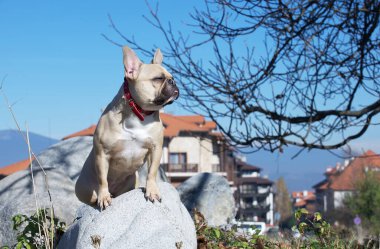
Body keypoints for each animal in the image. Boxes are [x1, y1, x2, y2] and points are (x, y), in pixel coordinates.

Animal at [76, 45, 181, 209]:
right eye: (158, 79)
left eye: (172, 77)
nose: (173, 82)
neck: (139, 113)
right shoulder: (102, 154)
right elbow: (102, 179)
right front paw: (103, 197)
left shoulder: (156, 149)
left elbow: (152, 173)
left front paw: (152, 191)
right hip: (83, 189)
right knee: (91, 197)